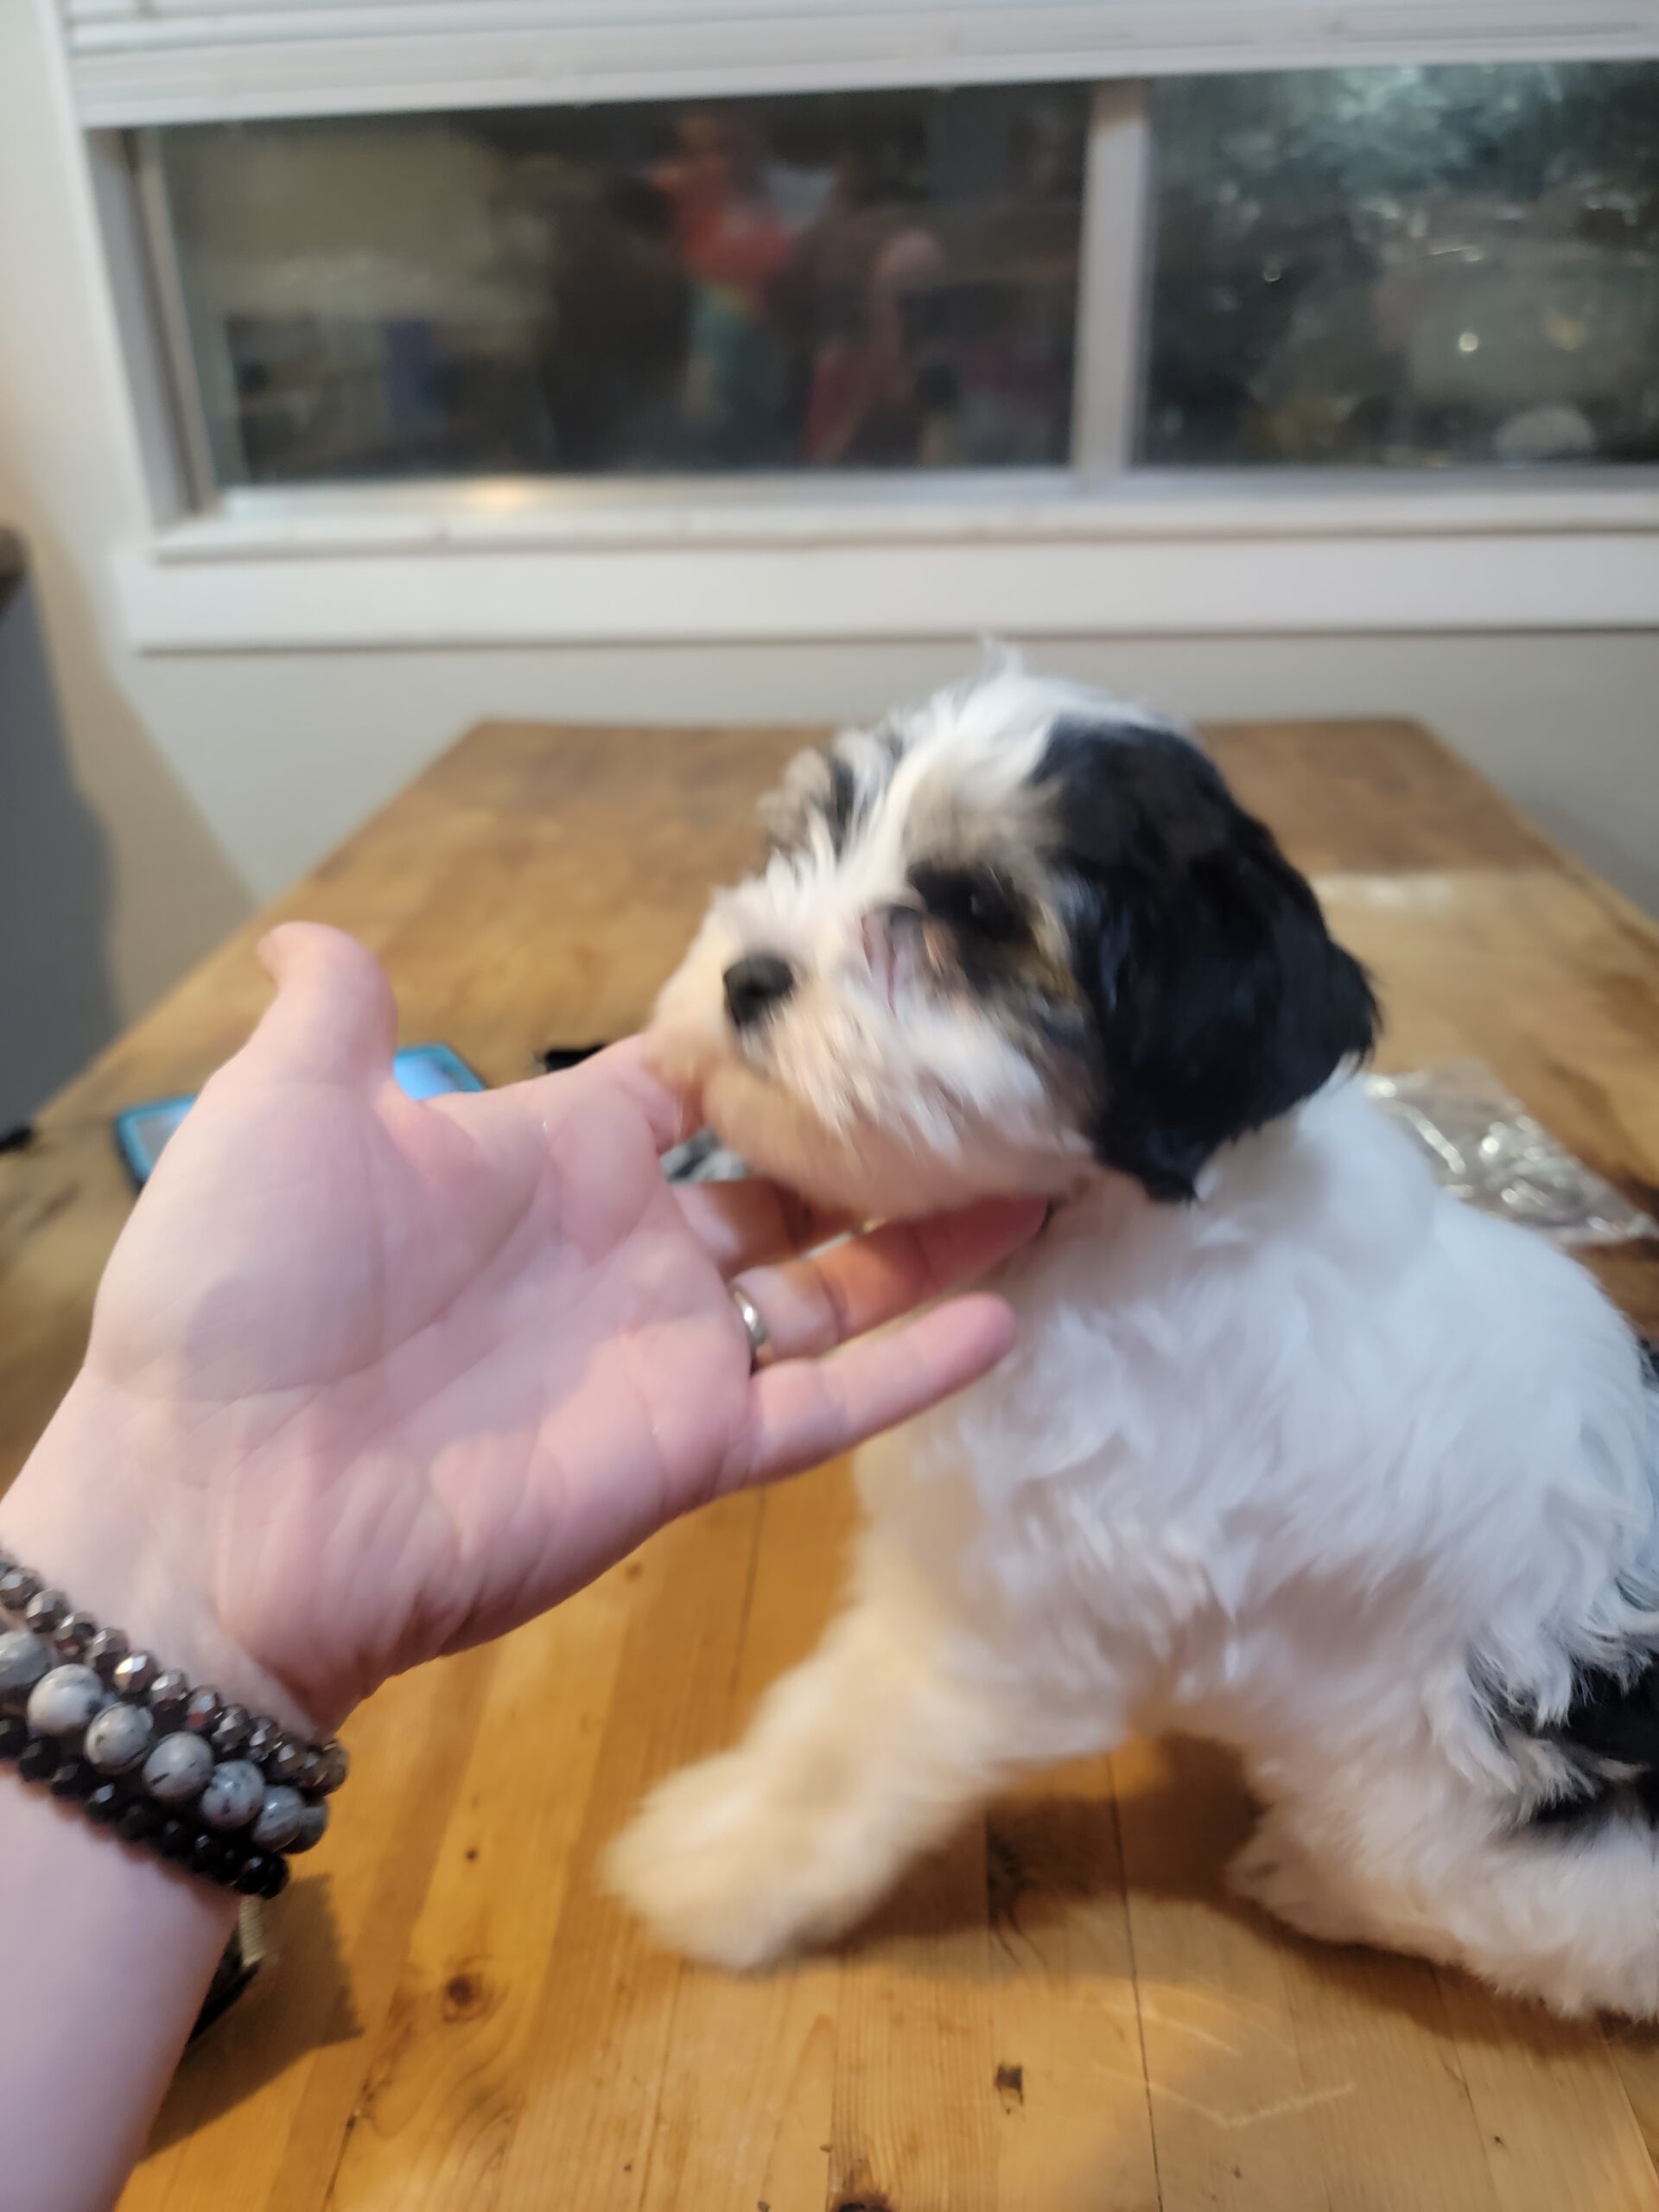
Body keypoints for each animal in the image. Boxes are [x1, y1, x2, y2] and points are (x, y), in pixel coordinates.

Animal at [610, 654, 1659, 2025]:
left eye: (978, 912)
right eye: (810, 839)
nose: (746, 976)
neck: (1103, 1222)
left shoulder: (1012, 1622)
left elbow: (844, 1745)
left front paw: (717, 1859)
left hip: (1466, 1814)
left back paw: (1309, 1881)